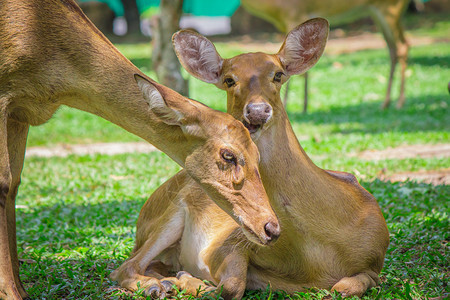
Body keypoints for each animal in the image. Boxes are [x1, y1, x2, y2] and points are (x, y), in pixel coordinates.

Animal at [0, 1, 282, 298]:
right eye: (228, 155)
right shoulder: (6, 96)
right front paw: (12, 291)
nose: (271, 228)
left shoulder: (21, 112)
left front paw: (20, 287)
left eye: (257, 155)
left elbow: (15, 183)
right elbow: (4, 180)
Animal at [110, 17, 390, 298]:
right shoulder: (234, 239)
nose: (257, 110)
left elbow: (345, 287)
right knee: (125, 267)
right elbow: (231, 285)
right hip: (170, 212)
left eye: (278, 74)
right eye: (229, 79)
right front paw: (187, 279)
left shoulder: (374, 261)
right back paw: (158, 284)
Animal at [241, 0, 410, 110]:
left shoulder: (295, 15)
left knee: (402, 46)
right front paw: (304, 105)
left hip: (390, 9)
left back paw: (400, 102)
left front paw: (292, 105)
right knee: (395, 48)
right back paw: (386, 102)